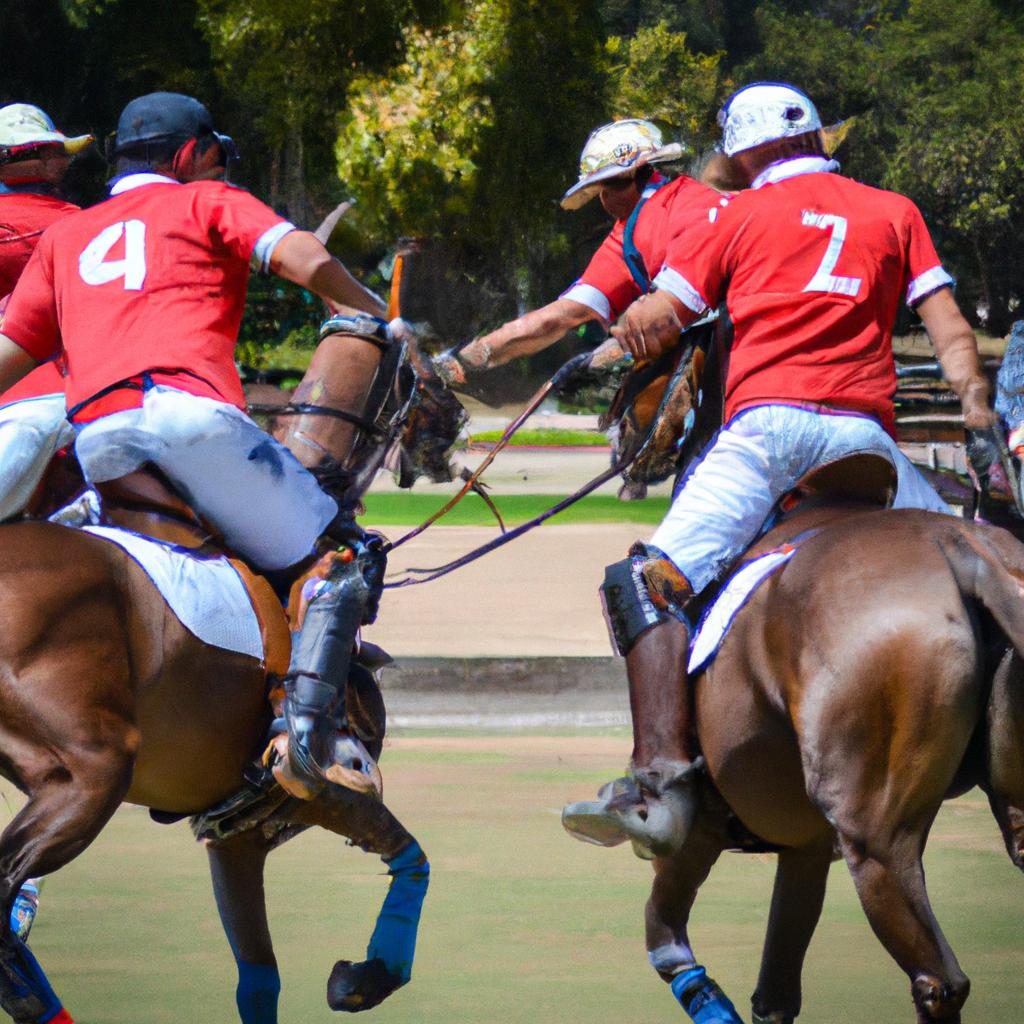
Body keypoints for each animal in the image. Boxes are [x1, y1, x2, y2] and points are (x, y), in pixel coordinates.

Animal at [0, 315, 442, 1019]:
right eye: (419, 367)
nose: (453, 418)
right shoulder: (318, 793)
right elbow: (413, 855)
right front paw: (369, 973)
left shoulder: (235, 831)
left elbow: (258, 978)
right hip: (91, 773)